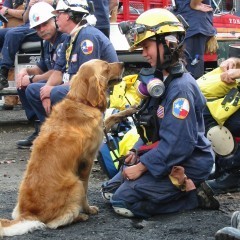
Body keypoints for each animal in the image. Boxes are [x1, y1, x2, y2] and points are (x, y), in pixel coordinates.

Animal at [0, 58, 124, 236]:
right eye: (107, 66)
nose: (122, 63)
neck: (81, 101)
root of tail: (28, 214)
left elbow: (112, 117)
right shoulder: (87, 161)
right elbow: (86, 190)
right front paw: (88, 209)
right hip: (75, 184)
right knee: (56, 222)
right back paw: (80, 216)